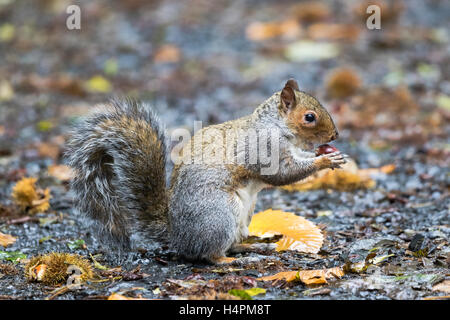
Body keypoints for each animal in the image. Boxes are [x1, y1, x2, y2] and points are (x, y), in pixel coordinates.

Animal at [67, 79, 346, 264]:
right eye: (309, 117)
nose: (335, 135)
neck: (276, 126)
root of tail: (178, 236)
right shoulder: (265, 149)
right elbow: (283, 173)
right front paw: (324, 161)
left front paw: (328, 155)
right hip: (219, 215)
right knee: (210, 254)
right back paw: (232, 261)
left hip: (241, 217)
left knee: (230, 245)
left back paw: (251, 248)